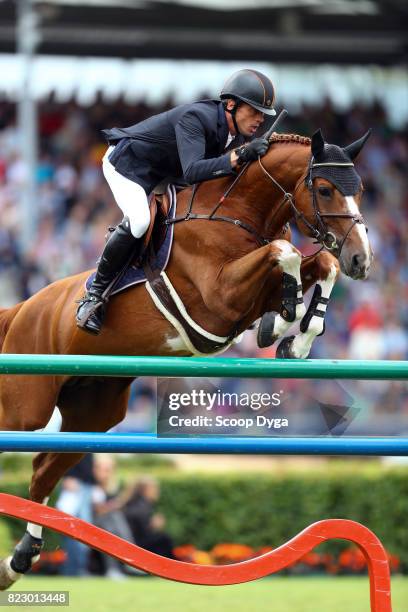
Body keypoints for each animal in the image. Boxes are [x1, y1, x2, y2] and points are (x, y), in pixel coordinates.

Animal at [0, 128, 372, 588]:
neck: (234, 213)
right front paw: (287, 317)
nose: (361, 260)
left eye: (361, 190)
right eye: (324, 189)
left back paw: (20, 558)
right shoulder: (221, 298)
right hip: (25, 409)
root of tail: (21, 308)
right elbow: (284, 251)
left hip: (92, 416)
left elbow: (319, 263)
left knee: (42, 471)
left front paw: (290, 336)